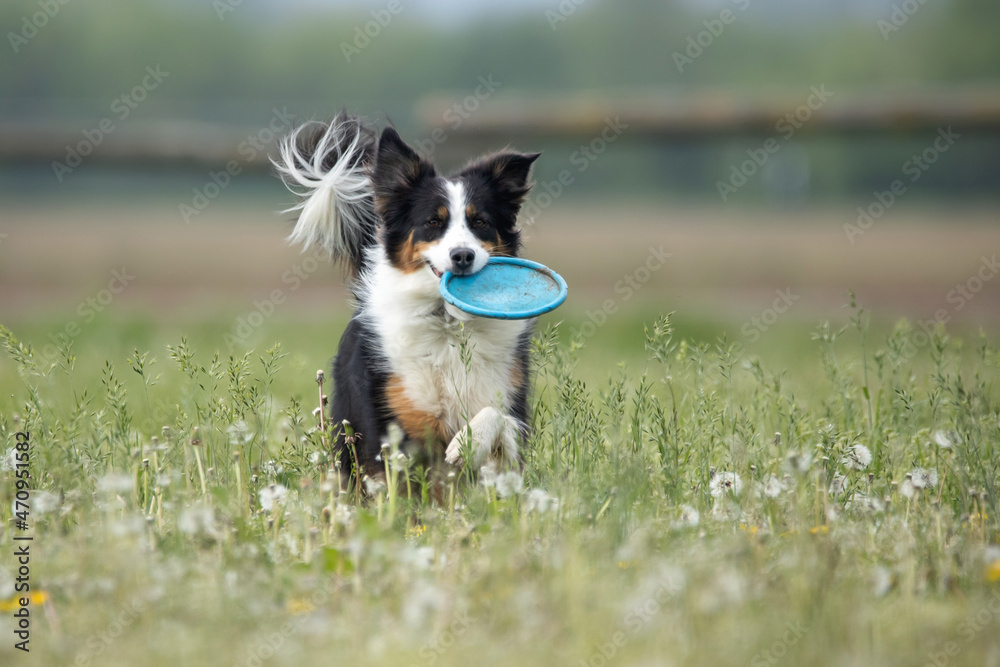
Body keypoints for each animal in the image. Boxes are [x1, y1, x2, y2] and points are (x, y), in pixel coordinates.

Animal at [274, 115, 540, 488]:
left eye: (480, 222)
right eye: (433, 222)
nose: (462, 256)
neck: (447, 321)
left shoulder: (510, 401)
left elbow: (497, 418)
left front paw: (468, 443)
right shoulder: (395, 417)